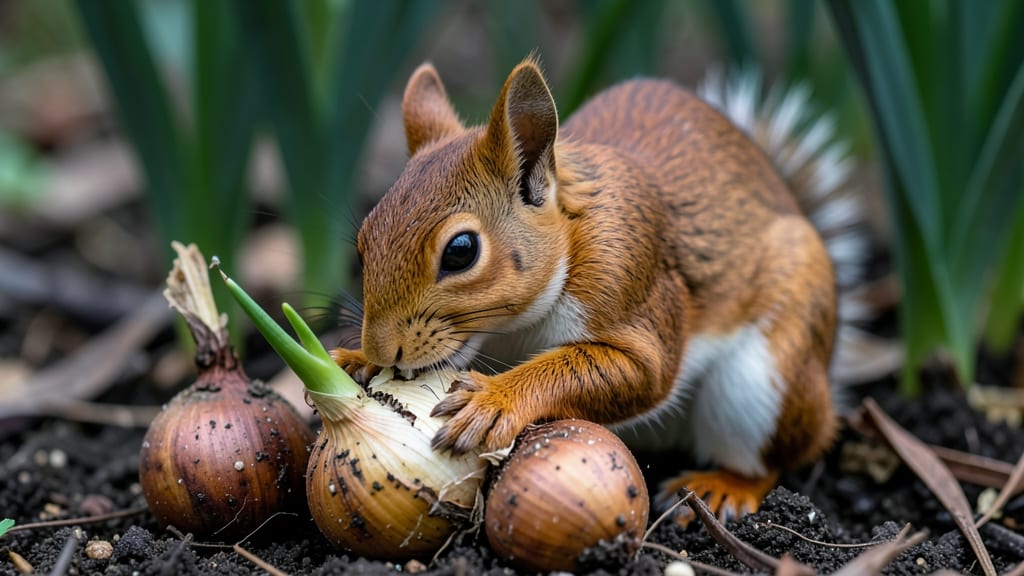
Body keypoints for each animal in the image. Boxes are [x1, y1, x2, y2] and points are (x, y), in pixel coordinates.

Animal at [332, 56, 868, 520]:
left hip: (762, 382)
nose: (381, 349)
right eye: (363, 242)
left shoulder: (632, 277)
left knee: (771, 460)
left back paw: (725, 487)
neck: (513, 330)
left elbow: (638, 372)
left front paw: (493, 401)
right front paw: (355, 361)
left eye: (461, 251)